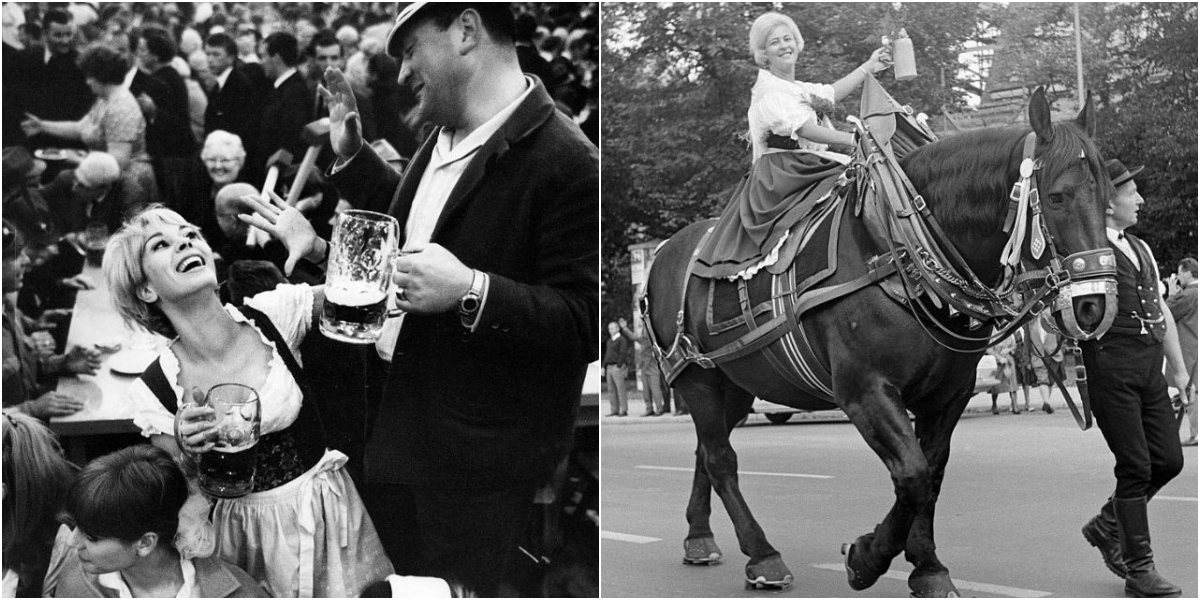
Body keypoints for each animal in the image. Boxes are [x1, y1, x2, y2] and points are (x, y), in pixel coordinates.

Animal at [643, 87, 1118, 597]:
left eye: (1107, 197)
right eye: (1056, 196)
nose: (1095, 304)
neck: (898, 249)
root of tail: (665, 250)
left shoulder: (947, 396)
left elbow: (932, 474)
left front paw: (927, 565)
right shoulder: (865, 389)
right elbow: (911, 475)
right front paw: (866, 557)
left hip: (736, 383)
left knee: (705, 452)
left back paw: (699, 536)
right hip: (696, 379)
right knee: (721, 459)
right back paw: (762, 554)